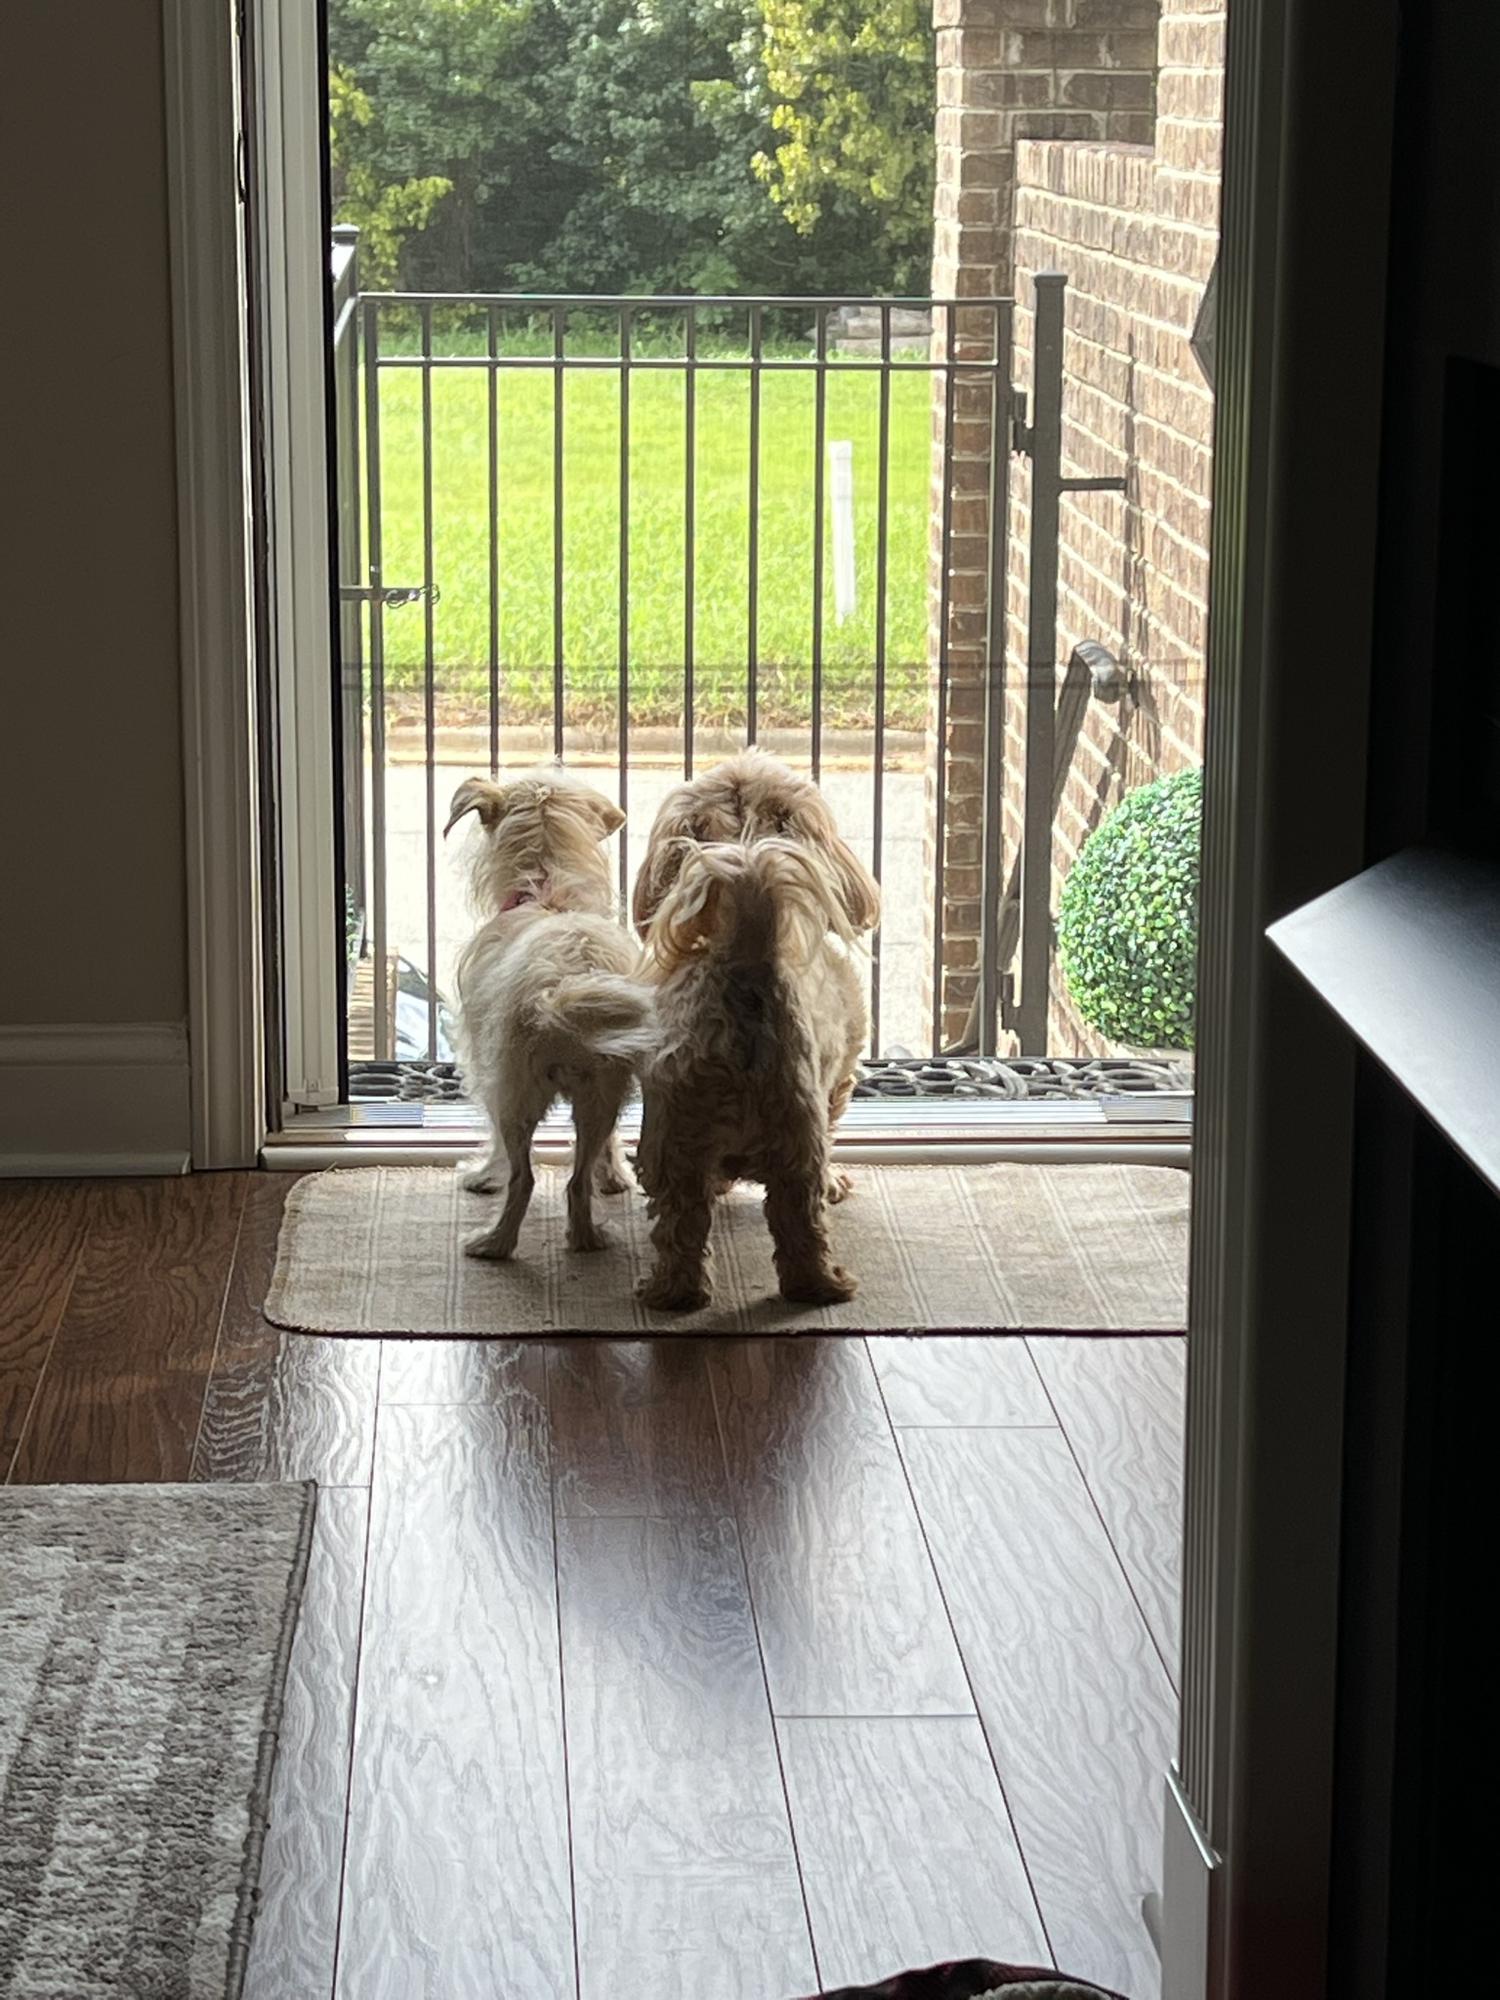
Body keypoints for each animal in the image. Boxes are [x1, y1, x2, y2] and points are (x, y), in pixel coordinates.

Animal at [450, 768, 656, 1256]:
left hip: (515, 1091)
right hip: (601, 1092)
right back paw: (586, 1238)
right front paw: (614, 1177)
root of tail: (561, 987)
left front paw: (483, 1176)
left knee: (523, 1178)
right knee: (576, 1183)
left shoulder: (486, 1065)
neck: (547, 893)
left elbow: (497, 1144)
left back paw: (493, 1244)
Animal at [636, 832, 868, 1312]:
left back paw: (673, 1293)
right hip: (795, 1134)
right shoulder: (833, 1088)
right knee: (799, 1221)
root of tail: (745, 962)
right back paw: (821, 1287)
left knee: (683, 1225)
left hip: (676, 1141)